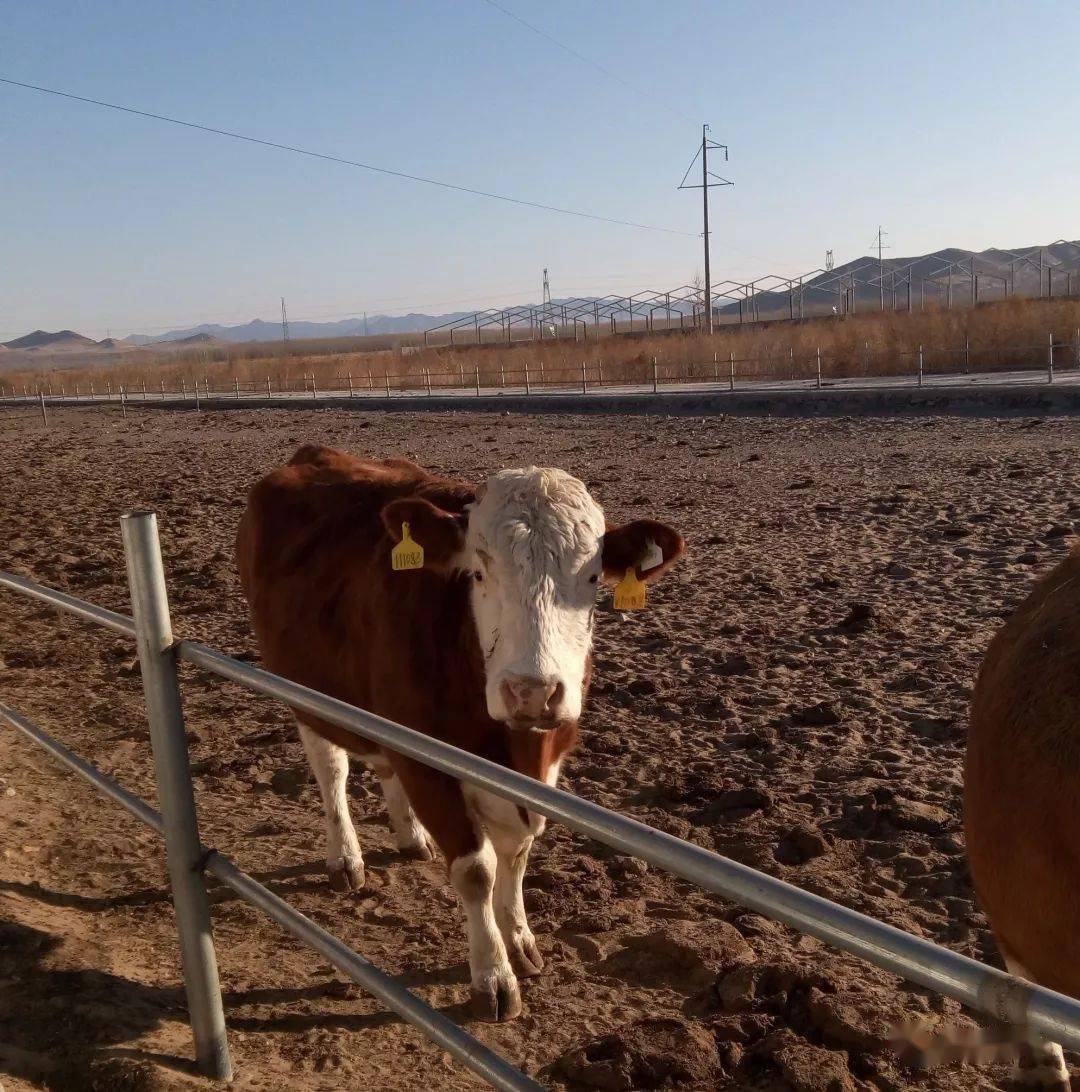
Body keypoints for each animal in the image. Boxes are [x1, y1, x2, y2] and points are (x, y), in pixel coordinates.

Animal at [235, 445, 681, 1022]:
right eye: (480, 569)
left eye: (591, 578)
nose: (532, 691)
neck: (516, 749)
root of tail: (314, 454)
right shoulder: (429, 766)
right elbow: (476, 871)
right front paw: (493, 976)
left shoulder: (544, 768)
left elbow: (517, 853)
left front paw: (519, 939)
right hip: (306, 691)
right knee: (331, 769)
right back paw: (346, 858)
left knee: (383, 764)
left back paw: (410, 836)